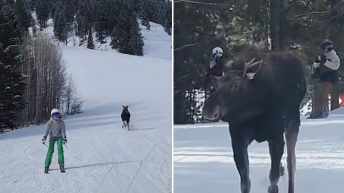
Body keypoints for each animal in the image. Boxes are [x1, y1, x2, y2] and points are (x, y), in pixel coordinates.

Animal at [203, 49, 306, 193]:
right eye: (216, 85)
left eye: (235, 85)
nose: (207, 109)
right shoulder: (238, 139)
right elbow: (245, 182)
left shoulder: (276, 136)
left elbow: (273, 178)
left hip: (293, 122)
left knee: (291, 162)